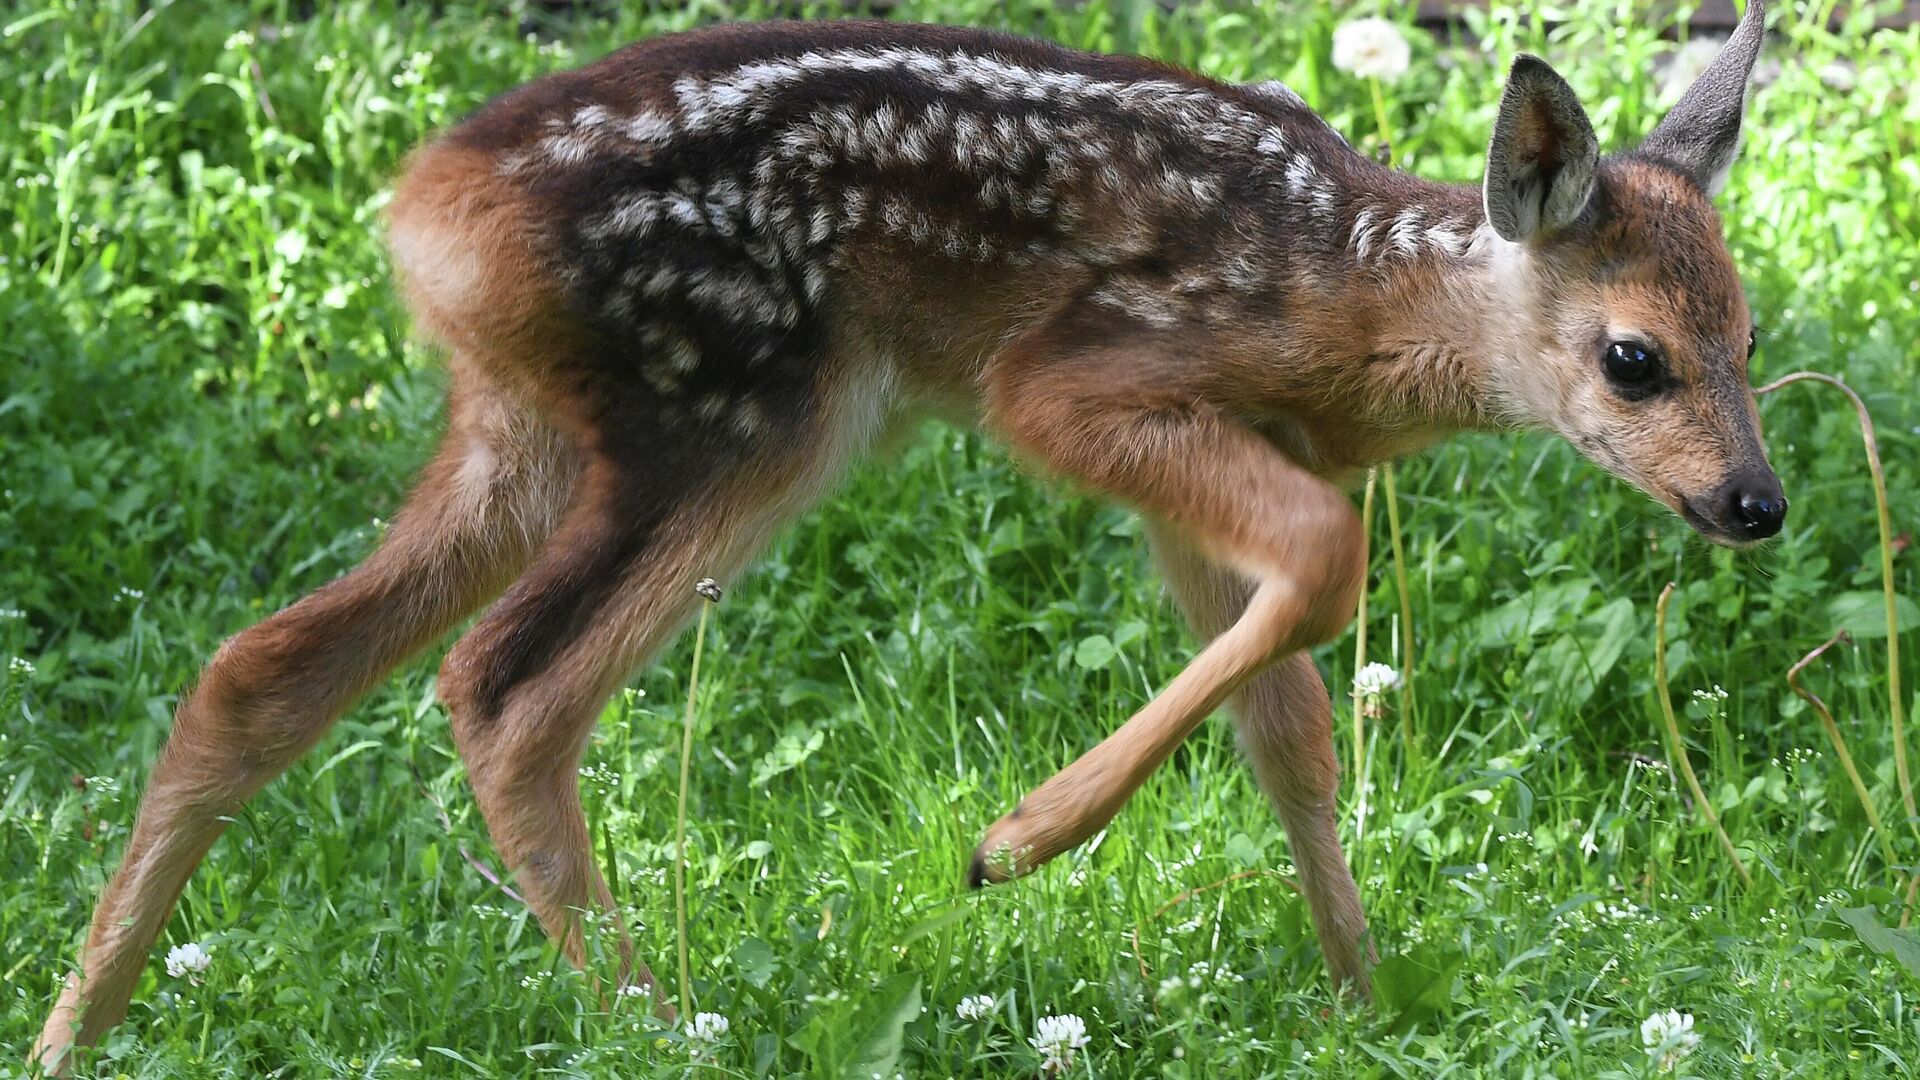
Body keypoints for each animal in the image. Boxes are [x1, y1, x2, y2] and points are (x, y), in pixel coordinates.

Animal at [37, 0, 1774, 1060]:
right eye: (1634, 358)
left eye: (1750, 332)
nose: (1751, 501)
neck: (1341, 302)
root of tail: (422, 221)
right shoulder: (1074, 382)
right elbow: (1322, 563)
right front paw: (1016, 840)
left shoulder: (1219, 456)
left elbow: (1288, 720)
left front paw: (1361, 1005)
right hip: (743, 405)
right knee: (509, 687)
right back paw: (661, 1026)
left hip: (522, 432)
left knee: (263, 661)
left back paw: (71, 1032)